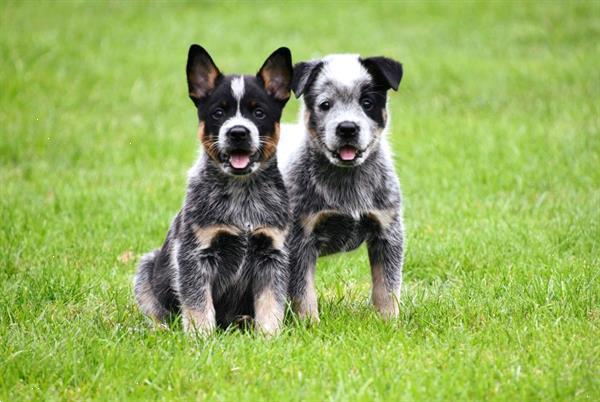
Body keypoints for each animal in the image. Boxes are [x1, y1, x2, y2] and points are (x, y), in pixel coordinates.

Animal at [137, 44, 296, 336]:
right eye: (218, 113)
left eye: (259, 112)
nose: (238, 132)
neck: (242, 195)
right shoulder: (195, 254)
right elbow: (197, 303)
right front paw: (201, 337)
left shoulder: (272, 253)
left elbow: (271, 302)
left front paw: (269, 336)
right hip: (146, 267)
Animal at [280, 54, 404, 324]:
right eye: (325, 104)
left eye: (367, 103)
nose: (347, 127)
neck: (348, 182)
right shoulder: (300, 238)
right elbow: (303, 289)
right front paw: (309, 324)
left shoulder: (388, 231)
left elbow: (387, 286)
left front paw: (388, 321)